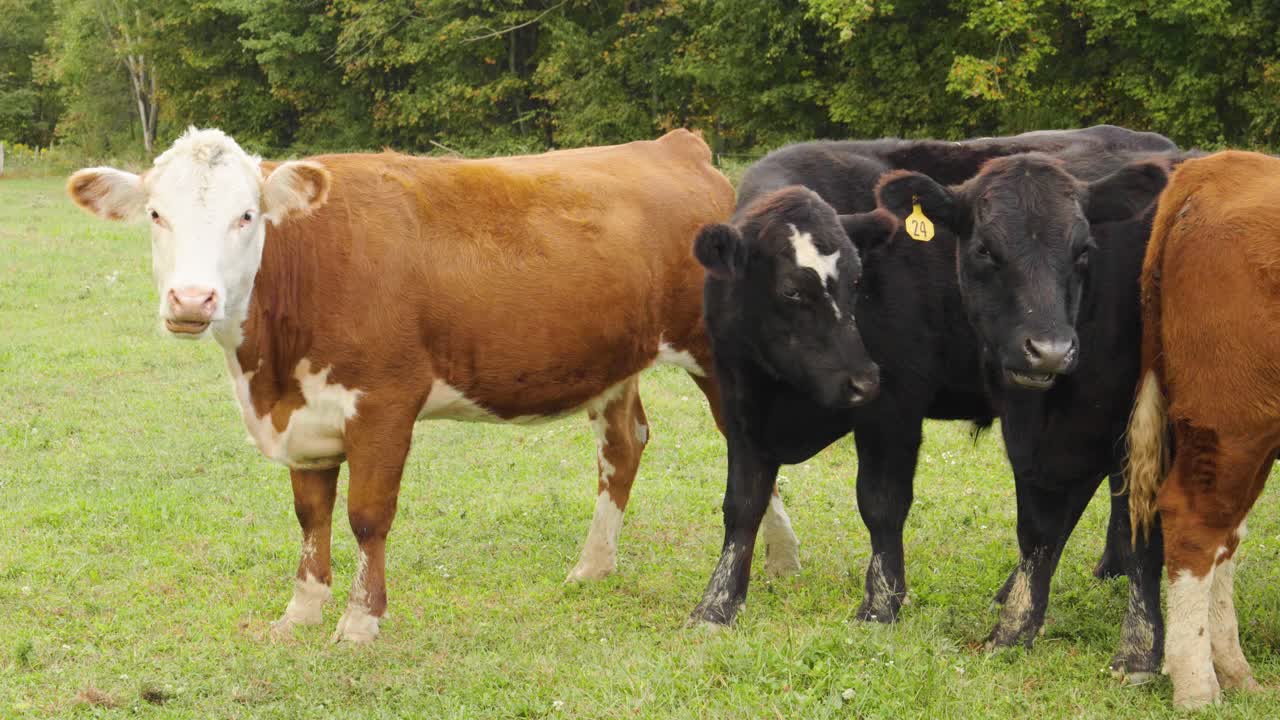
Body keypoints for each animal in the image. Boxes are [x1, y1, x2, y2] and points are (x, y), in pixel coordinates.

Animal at [66, 126, 803, 643]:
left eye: (247, 215)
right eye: (155, 215)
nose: (192, 299)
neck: (268, 373)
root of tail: (674, 146)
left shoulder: (384, 400)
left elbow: (367, 516)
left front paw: (360, 621)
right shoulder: (306, 417)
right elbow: (310, 515)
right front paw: (301, 611)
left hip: (714, 353)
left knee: (748, 447)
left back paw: (778, 560)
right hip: (616, 360)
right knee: (624, 447)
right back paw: (595, 565)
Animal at [691, 129, 1173, 679]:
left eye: (857, 280)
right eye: (792, 291)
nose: (862, 378)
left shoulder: (894, 404)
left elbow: (881, 503)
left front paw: (881, 605)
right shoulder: (741, 403)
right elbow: (741, 505)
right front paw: (717, 604)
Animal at [1128, 150, 1277, 709]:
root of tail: (1217, 167)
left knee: (1226, 533)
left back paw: (1234, 672)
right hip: (1232, 417)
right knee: (1196, 522)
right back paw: (1198, 685)